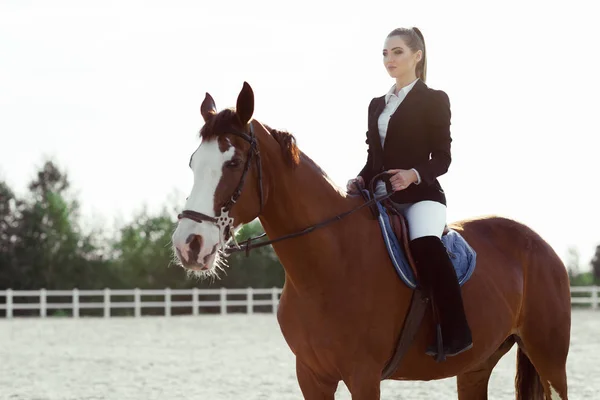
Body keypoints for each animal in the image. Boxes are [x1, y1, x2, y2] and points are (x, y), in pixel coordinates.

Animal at [170, 82, 572, 400]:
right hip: (476, 367)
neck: (328, 264)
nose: (188, 244)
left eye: (234, 163)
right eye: (192, 163)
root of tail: (541, 245)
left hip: (550, 360)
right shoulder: (311, 376)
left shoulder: (363, 376)